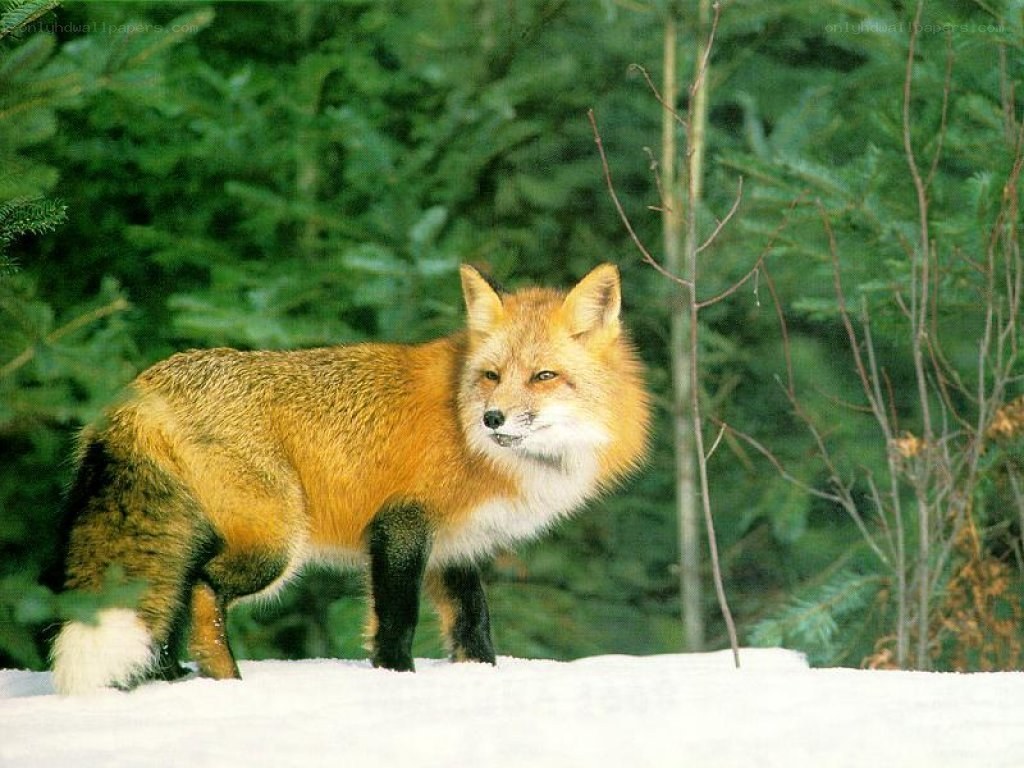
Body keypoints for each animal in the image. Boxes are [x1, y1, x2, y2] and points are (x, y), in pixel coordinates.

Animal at [50, 263, 650, 694]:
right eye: (491, 376)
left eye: (544, 376)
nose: (493, 419)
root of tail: (144, 384)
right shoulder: (401, 525)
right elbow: (398, 618)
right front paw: (396, 679)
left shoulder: (457, 546)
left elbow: (473, 627)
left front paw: (478, 679)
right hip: (275, 543)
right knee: (201, 590)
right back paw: (227, 683)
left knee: (172, 598)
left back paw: (168, 681)